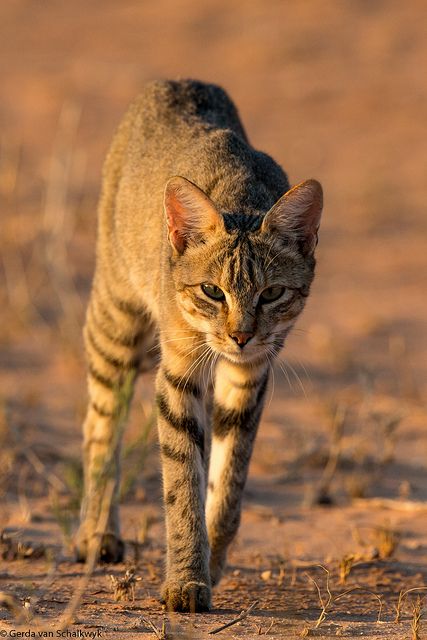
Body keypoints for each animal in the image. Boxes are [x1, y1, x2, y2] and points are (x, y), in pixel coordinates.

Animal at [76, 77, 324, 612]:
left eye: (271, 293)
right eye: (212, 291)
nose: (240, 335)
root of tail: (177, 80)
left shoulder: (252, 375)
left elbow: (229, 484)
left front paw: (211, 563)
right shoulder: (178, 372)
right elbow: (182, 483)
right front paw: (187, 581)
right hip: (115, 315)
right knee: (100, 422)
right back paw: (96, 533)